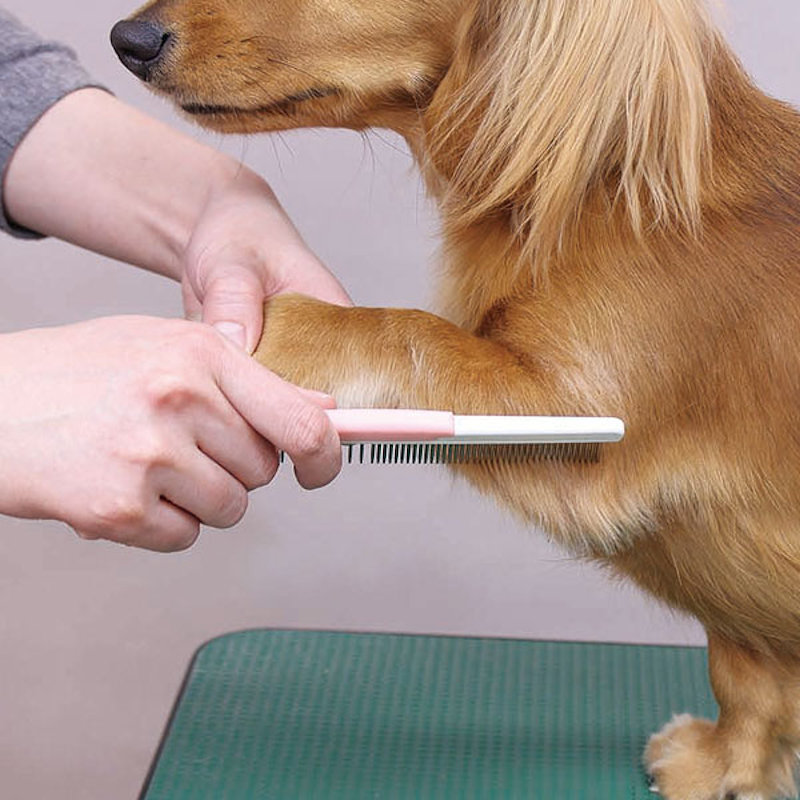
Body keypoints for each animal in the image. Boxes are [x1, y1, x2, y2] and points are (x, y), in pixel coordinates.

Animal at [110, 1, 800, 797]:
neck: (610, 185)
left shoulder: (576, 416)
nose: (128, 39)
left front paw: (277, 333)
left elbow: (406, 329)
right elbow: (747, 672)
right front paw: (729, 766)